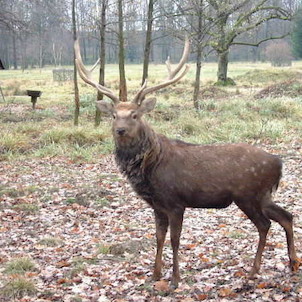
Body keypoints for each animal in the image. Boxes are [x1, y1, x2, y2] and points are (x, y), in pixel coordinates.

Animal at [75, 38, 300, 288]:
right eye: (114, 115)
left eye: (135, 114)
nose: (120, 130)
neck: (151, 166)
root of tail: (278, 163)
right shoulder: (157, 205)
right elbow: (159, 237)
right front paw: (155, 274)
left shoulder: (175, 202)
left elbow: (175, 240)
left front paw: (175, 279)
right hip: (263, 195)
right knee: (286, 216)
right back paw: (292, 263)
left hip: (248, 194)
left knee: (265, 224)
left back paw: (253, 271)